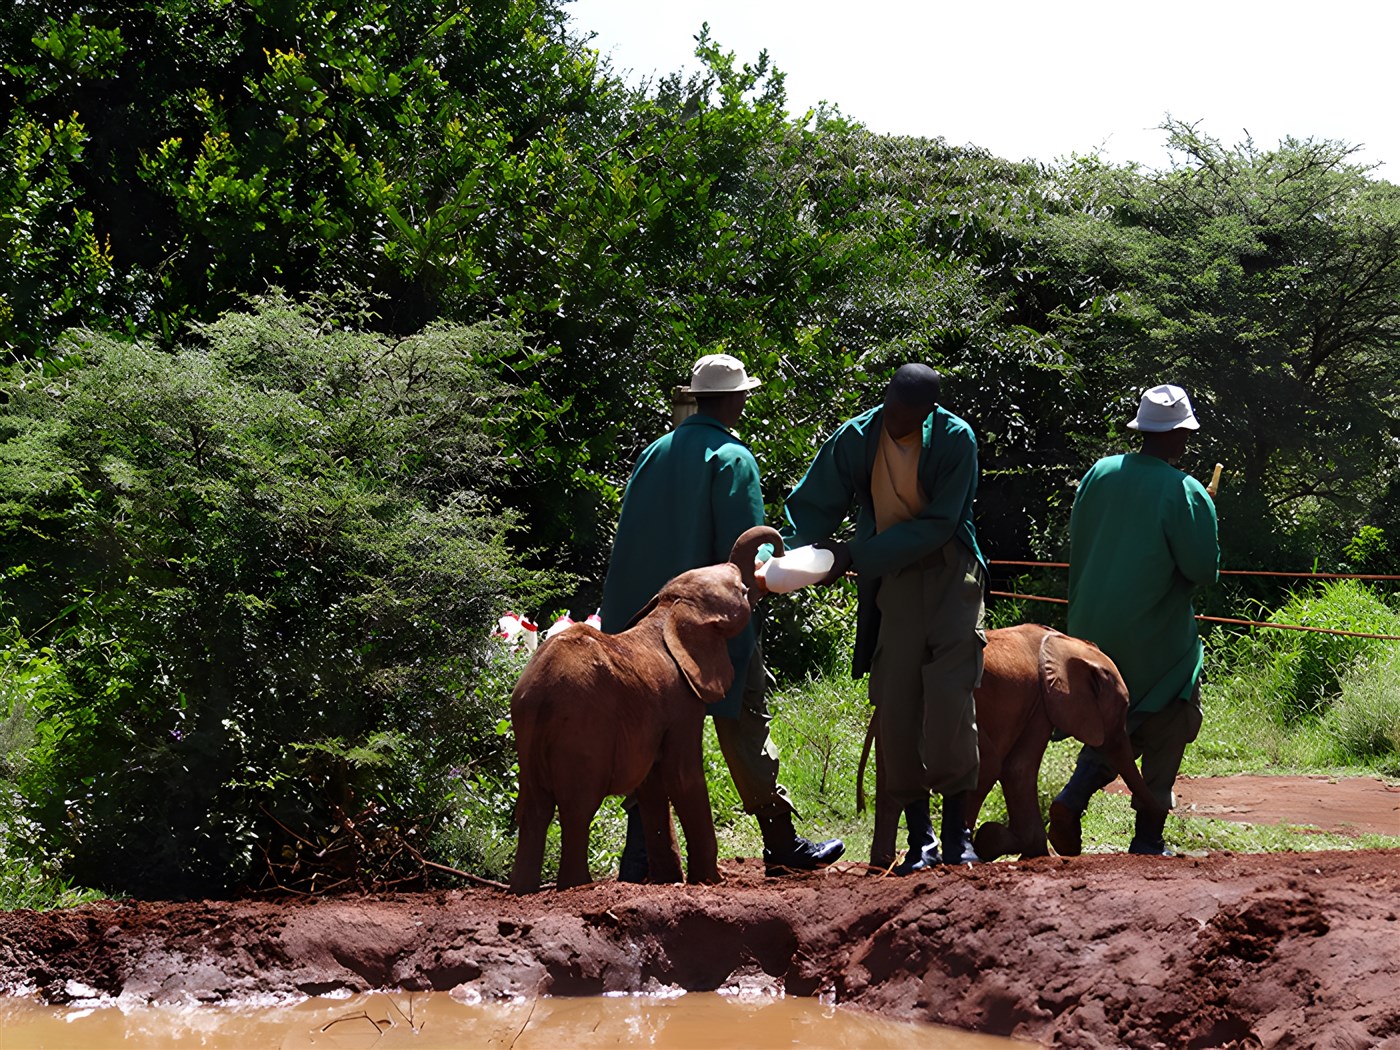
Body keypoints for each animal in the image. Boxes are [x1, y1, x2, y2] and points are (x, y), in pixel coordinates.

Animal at [508, 525, 784, 894]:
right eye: (741, 590)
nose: (777, 553)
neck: (669, 610)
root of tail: (540, 694)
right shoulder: (682, 702)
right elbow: (682, 776)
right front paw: (710, 881)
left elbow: (653, 785)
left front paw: (669, 881)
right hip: (581, 730)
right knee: (577, 809)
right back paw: (577, 887)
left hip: (528, 731)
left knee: (533, 809)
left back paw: (521, 891)